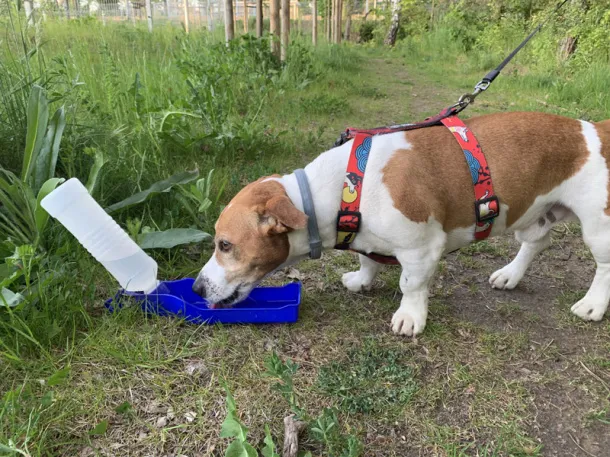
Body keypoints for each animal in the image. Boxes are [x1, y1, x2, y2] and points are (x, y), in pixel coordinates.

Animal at [191, 111, 608, 334]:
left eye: (225, 245)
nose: (195, 288)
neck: (345, 187)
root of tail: (594, 130)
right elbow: (366, 258)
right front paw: (363, 279)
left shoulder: (421, 249)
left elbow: (412, 284)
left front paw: (411, 315)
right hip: (531, 213)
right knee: (536, 242)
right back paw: (511, 275)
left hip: (598, 227)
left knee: (603, 266)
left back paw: (593, 304)